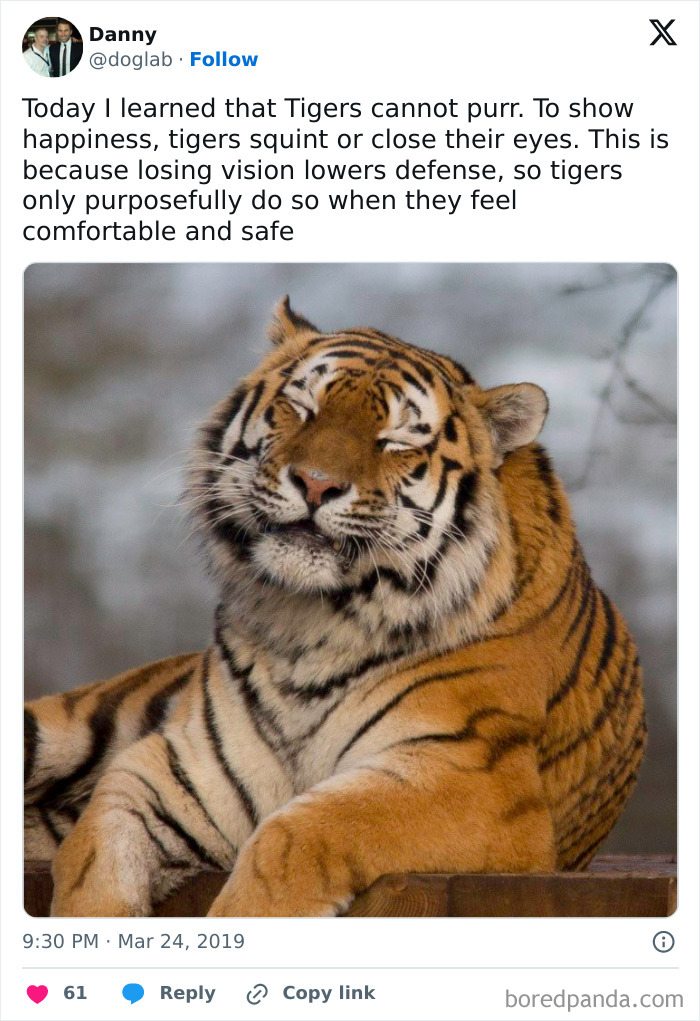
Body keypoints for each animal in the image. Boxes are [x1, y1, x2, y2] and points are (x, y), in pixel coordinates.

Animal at [24, 297, 646, 917]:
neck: (312, 625)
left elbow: (295, 834)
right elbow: (94, 850)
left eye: (397, 441)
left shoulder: (473, 777)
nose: (316, 483)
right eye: (302, 408)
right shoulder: (181, 768)